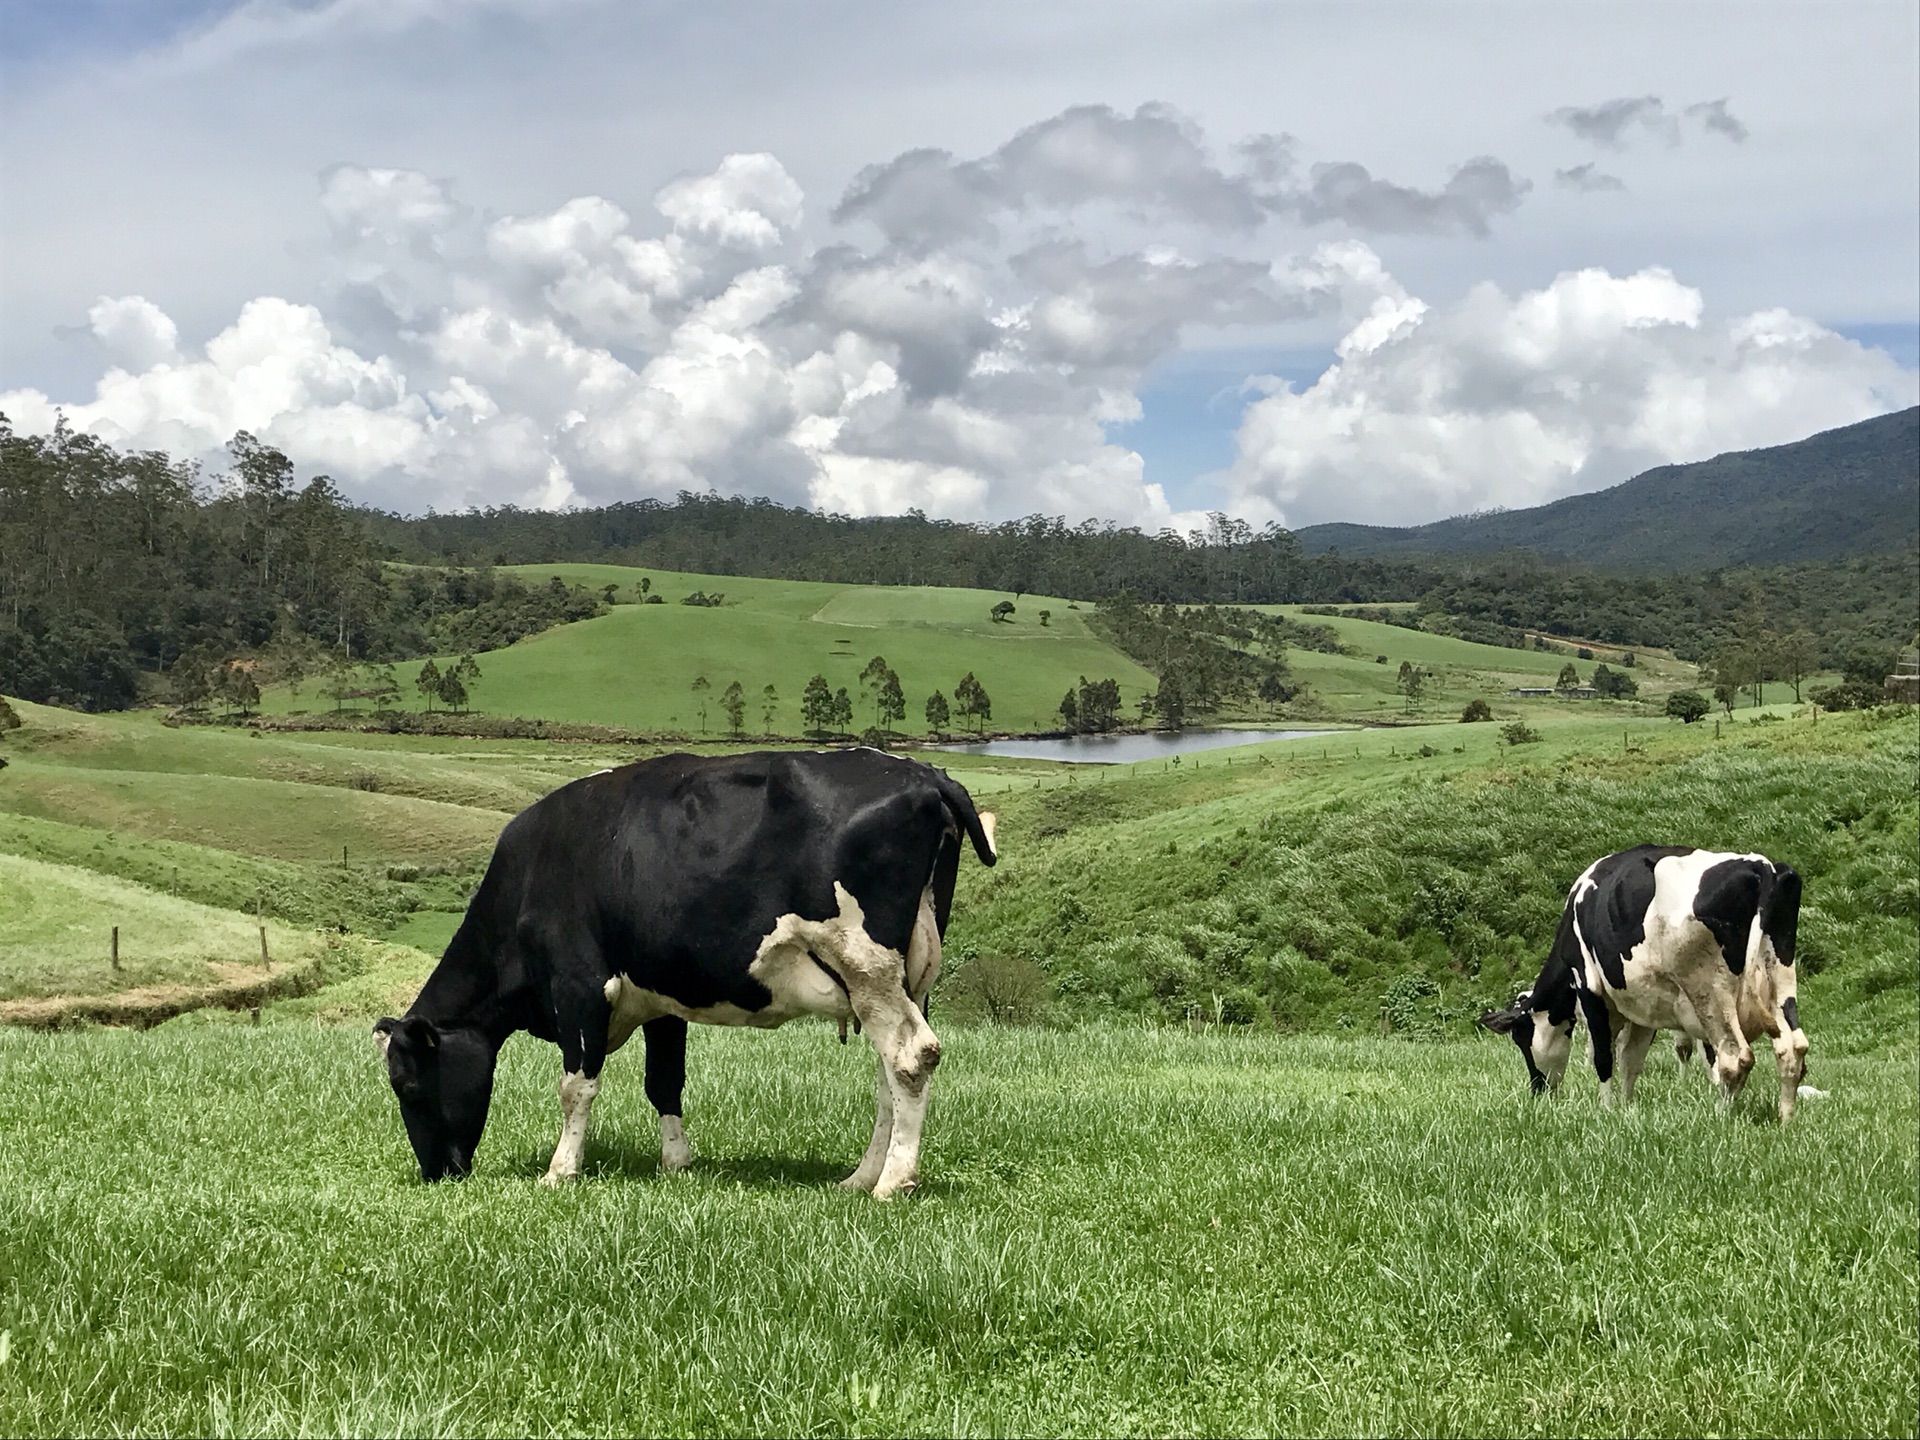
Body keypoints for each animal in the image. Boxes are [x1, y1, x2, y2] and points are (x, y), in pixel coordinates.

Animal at [376, 748, 1006, 1198]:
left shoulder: (579, 985)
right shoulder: (661, 995)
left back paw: (892, 1182)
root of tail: (924, 775)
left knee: (911, 1056)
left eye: (406, 1084)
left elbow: (576, 1087)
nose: (437, 1173)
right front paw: (676, 1163)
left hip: (865, 961)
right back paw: (860, 1177)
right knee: (890, 1072)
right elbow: (664, 1082)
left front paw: (560, 1170)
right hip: (903, 977)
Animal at [1474, 844, 1804, 1128]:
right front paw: (1626, 1108)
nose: (1538, 1091)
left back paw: (1720, 1116)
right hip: (1780, 979)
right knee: (1793, 1048)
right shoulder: (1644, 1005)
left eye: (1520, 1038)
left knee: (1735, 1058)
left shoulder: (1589, 986)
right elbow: (1630, 1060)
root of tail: (1761, 866)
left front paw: (1606, 1110)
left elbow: (1604, 1057)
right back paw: (1785, 1120)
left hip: (1709, 991)